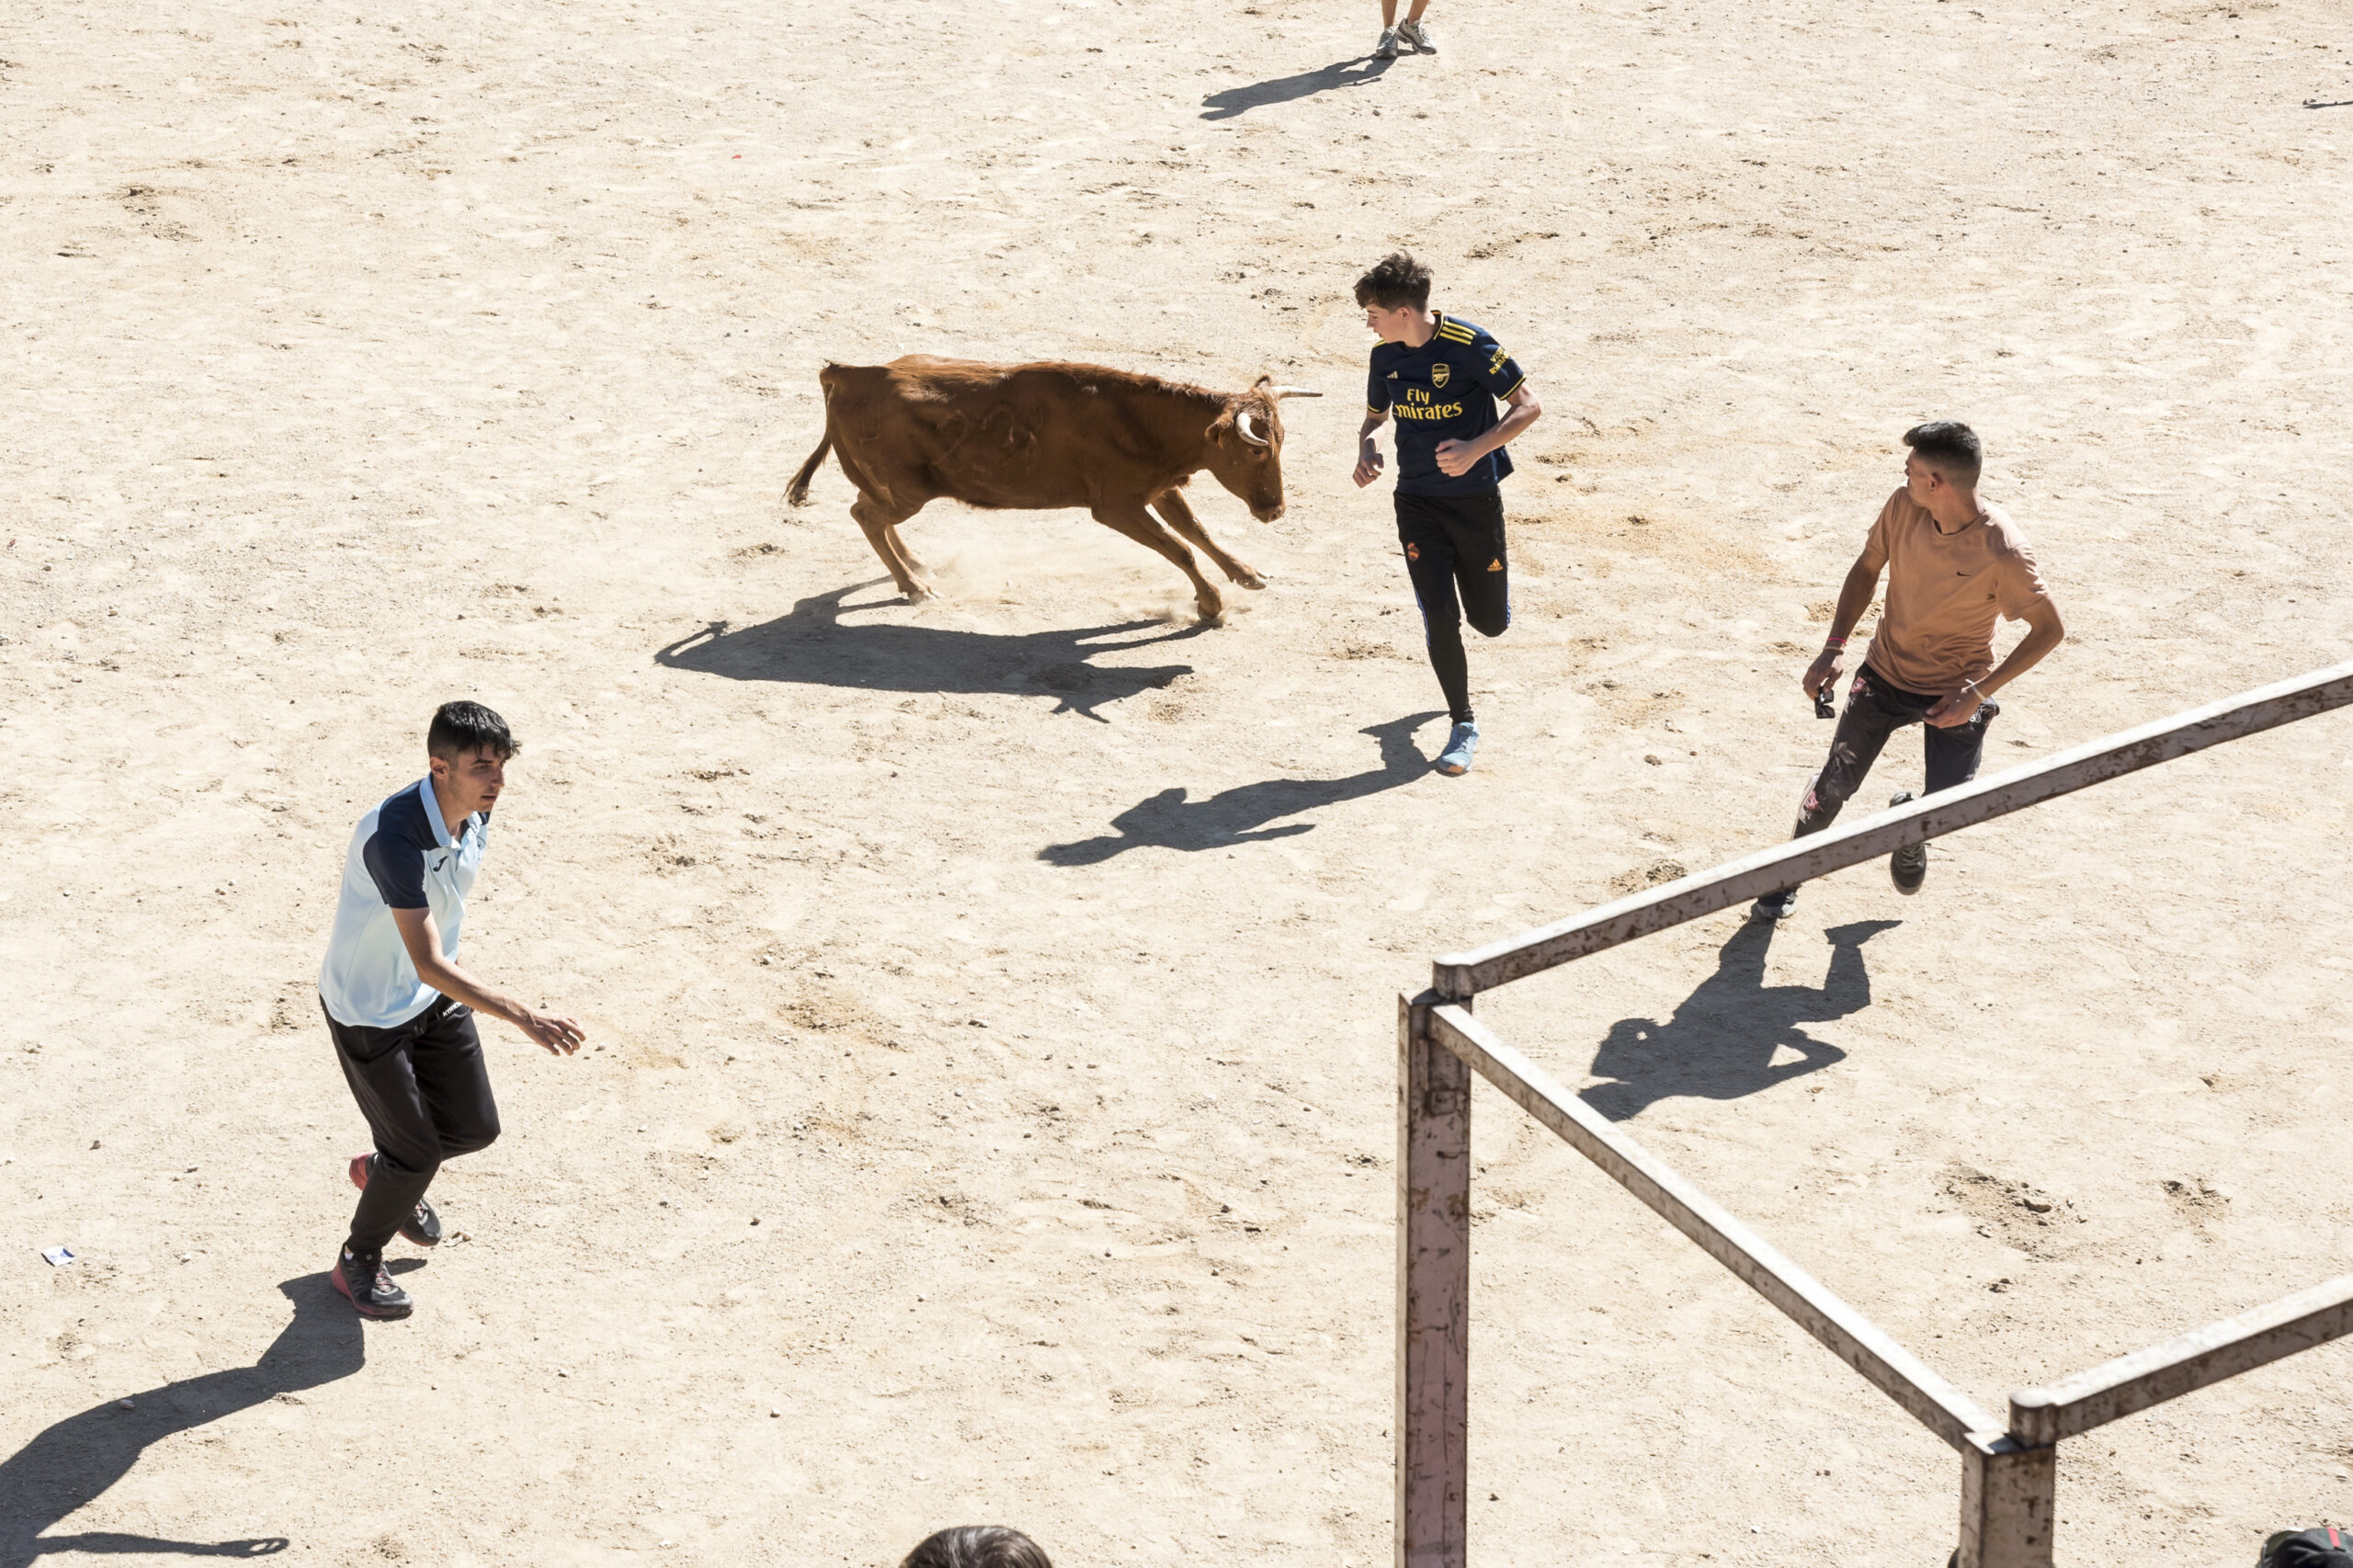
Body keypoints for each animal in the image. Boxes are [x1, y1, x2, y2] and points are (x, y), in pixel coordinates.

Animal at [786, 358, 1308, 621]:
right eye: (1257, 451)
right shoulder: (1117, 507)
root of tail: (844, 373)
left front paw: (1247, 575)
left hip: (898, 491)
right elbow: (1178, 548)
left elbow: (1196, 530)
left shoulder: (1158, 488)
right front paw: (1211, 605)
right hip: (908, 491)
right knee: (866, 515)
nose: (1276, 510)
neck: (1141, 419)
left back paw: (917, 568)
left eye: (1282, 440)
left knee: (871, 512)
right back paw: (916, 589)